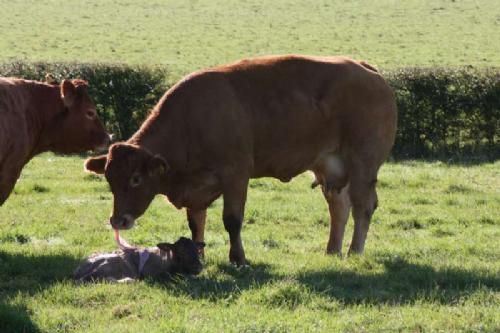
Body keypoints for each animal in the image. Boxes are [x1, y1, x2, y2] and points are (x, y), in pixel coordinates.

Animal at [87, 55, 398, 266]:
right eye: (110, 180)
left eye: (136, 179)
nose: (118, 220)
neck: (190, 121)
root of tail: (367, 70)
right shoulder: (196, 189)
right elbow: (196, 224)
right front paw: (197, 256)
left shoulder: (236, 175)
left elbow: (232, 221)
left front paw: (238, 259)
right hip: (329, 166)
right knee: (340, 208)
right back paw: (332, 250)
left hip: (362, 165)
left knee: (363, 207)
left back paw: (354, 252)